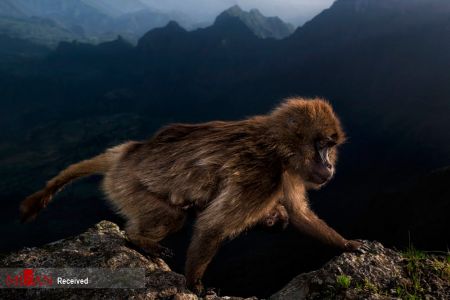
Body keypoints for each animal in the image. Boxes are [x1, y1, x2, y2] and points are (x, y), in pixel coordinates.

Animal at [22, 98, 366, 292]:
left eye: (331, 147)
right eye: (322, 145)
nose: (329, 166)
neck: (279, 147)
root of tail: (128, 153)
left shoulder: (287, 174)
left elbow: (298, 215)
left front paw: (346, 244)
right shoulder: (263, 175)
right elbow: (213, 226)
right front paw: (193, 285)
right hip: (126, 185)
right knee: (171, 216)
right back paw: (138, 239)